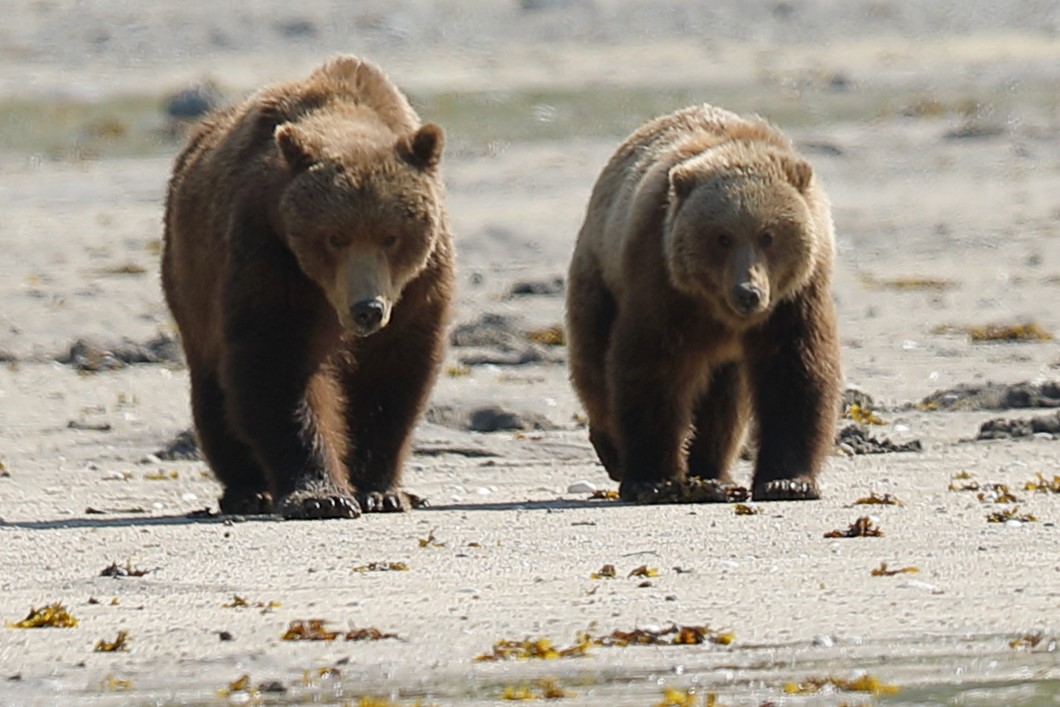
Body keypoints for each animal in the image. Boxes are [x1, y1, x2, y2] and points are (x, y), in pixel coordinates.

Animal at [161, 55, 451, 519]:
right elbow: (278, 366)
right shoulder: (269, 254)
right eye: (334, 237)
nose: (367, 308)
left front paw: (381, 490)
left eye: (391, 236)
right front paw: (320, 494)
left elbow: (394, 376)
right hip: (190, 279)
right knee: (213, 391)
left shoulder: (419, 287)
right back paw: (248, 490)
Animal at [568, 104, 839, 502]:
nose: (747, 291)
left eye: (768, 235)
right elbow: (651, 368)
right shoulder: (661, 281)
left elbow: (795, 373)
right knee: (593, 362)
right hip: (599, 277)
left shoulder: (795, 297)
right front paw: (653, 479)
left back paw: (713, 474)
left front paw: (787, 481)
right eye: (722, 237)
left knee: (722, 402)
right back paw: (614, 451)